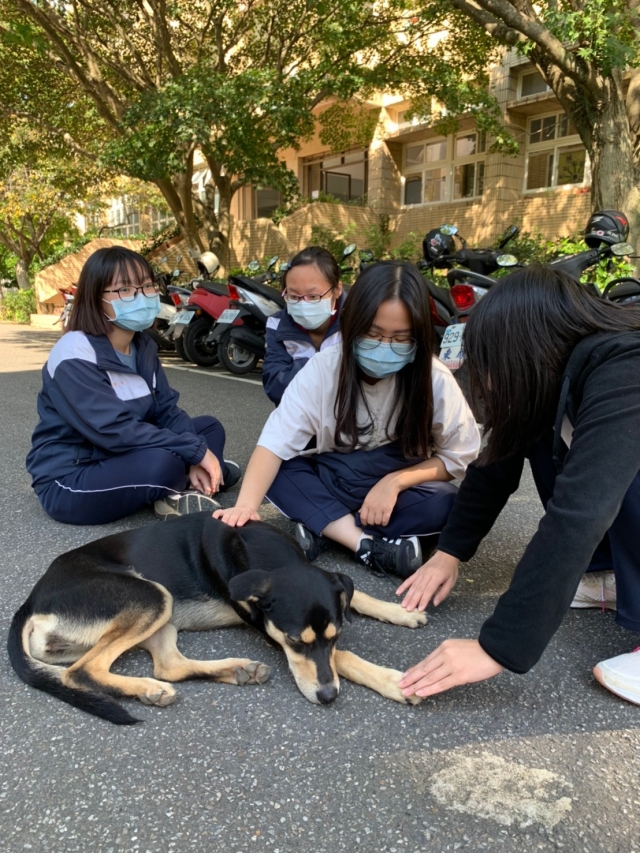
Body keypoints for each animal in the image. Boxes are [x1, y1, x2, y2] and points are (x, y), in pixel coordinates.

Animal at [7, 512, 424, 724]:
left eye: (335, 634)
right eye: (294, 641)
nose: (328, 697)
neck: (269, 553)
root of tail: (30, 601)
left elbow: (359, 600)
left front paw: (401, 610)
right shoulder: (266, 627)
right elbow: (344, 660)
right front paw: (392, 681)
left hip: (162, 610)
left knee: (168, 665)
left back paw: (235, 670)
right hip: (152, 596)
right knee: (80, 673)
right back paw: (147, 688)